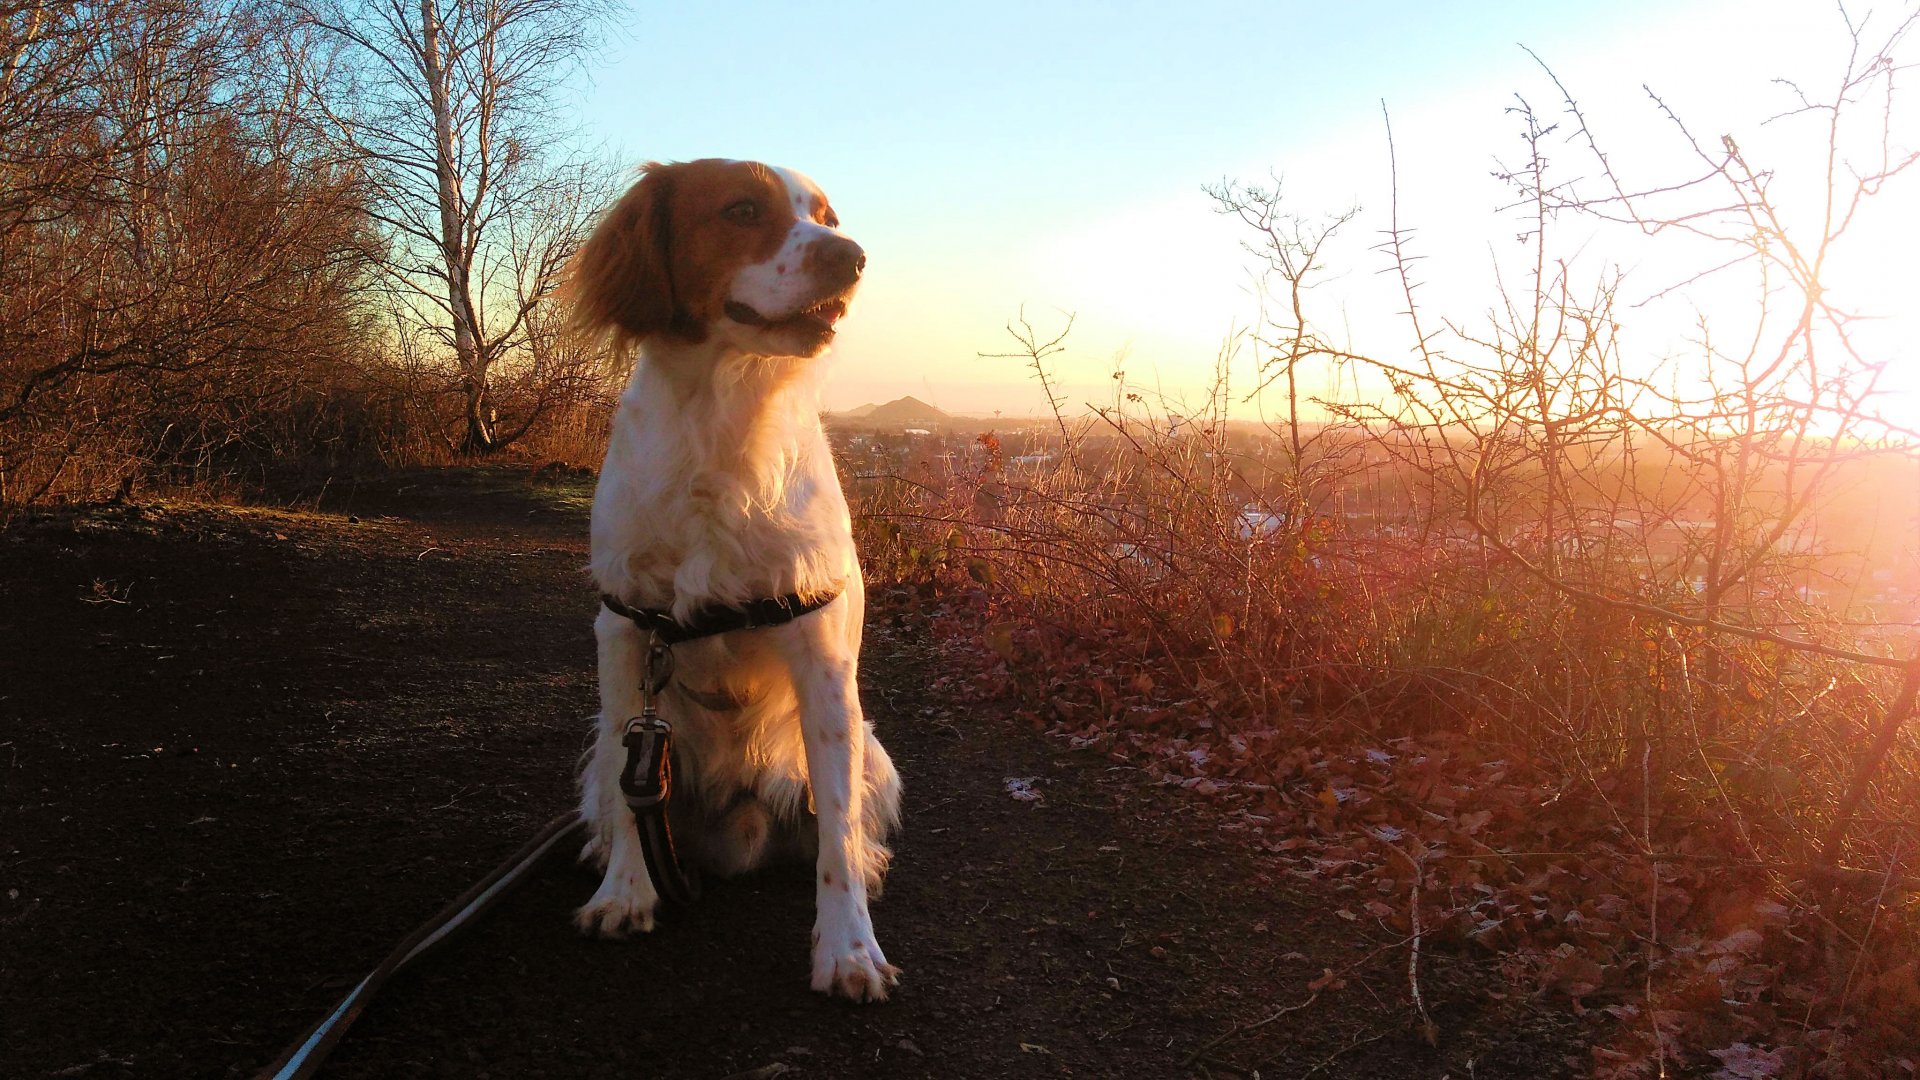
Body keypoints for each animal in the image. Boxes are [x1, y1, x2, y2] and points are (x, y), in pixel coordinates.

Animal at [564, 159, 902, 999]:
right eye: (743, 210)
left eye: (827, 217)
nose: (851, 257)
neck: (722, 422)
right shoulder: (624, 627)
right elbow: (630, 806)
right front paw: (625, 893)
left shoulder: (819, 651)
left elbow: (836, 833)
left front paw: (849, 949)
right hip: (602, 754)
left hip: (872, 749)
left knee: (849, 826)